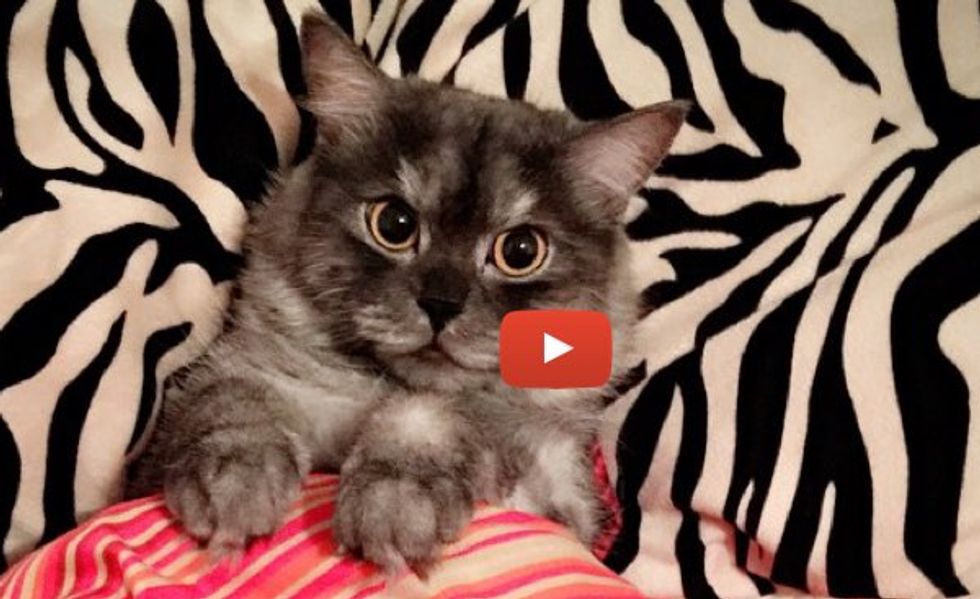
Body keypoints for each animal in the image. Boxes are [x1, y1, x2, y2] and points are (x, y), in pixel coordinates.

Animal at [126, 12, 684, 576]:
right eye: (394, 224)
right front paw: (236, 483)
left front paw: (393, 503)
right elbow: (232, 400)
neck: (378, 389)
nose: (441, 306)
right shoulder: (209, 396)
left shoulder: (558, 488)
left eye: (521, 250)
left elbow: (433, 414)